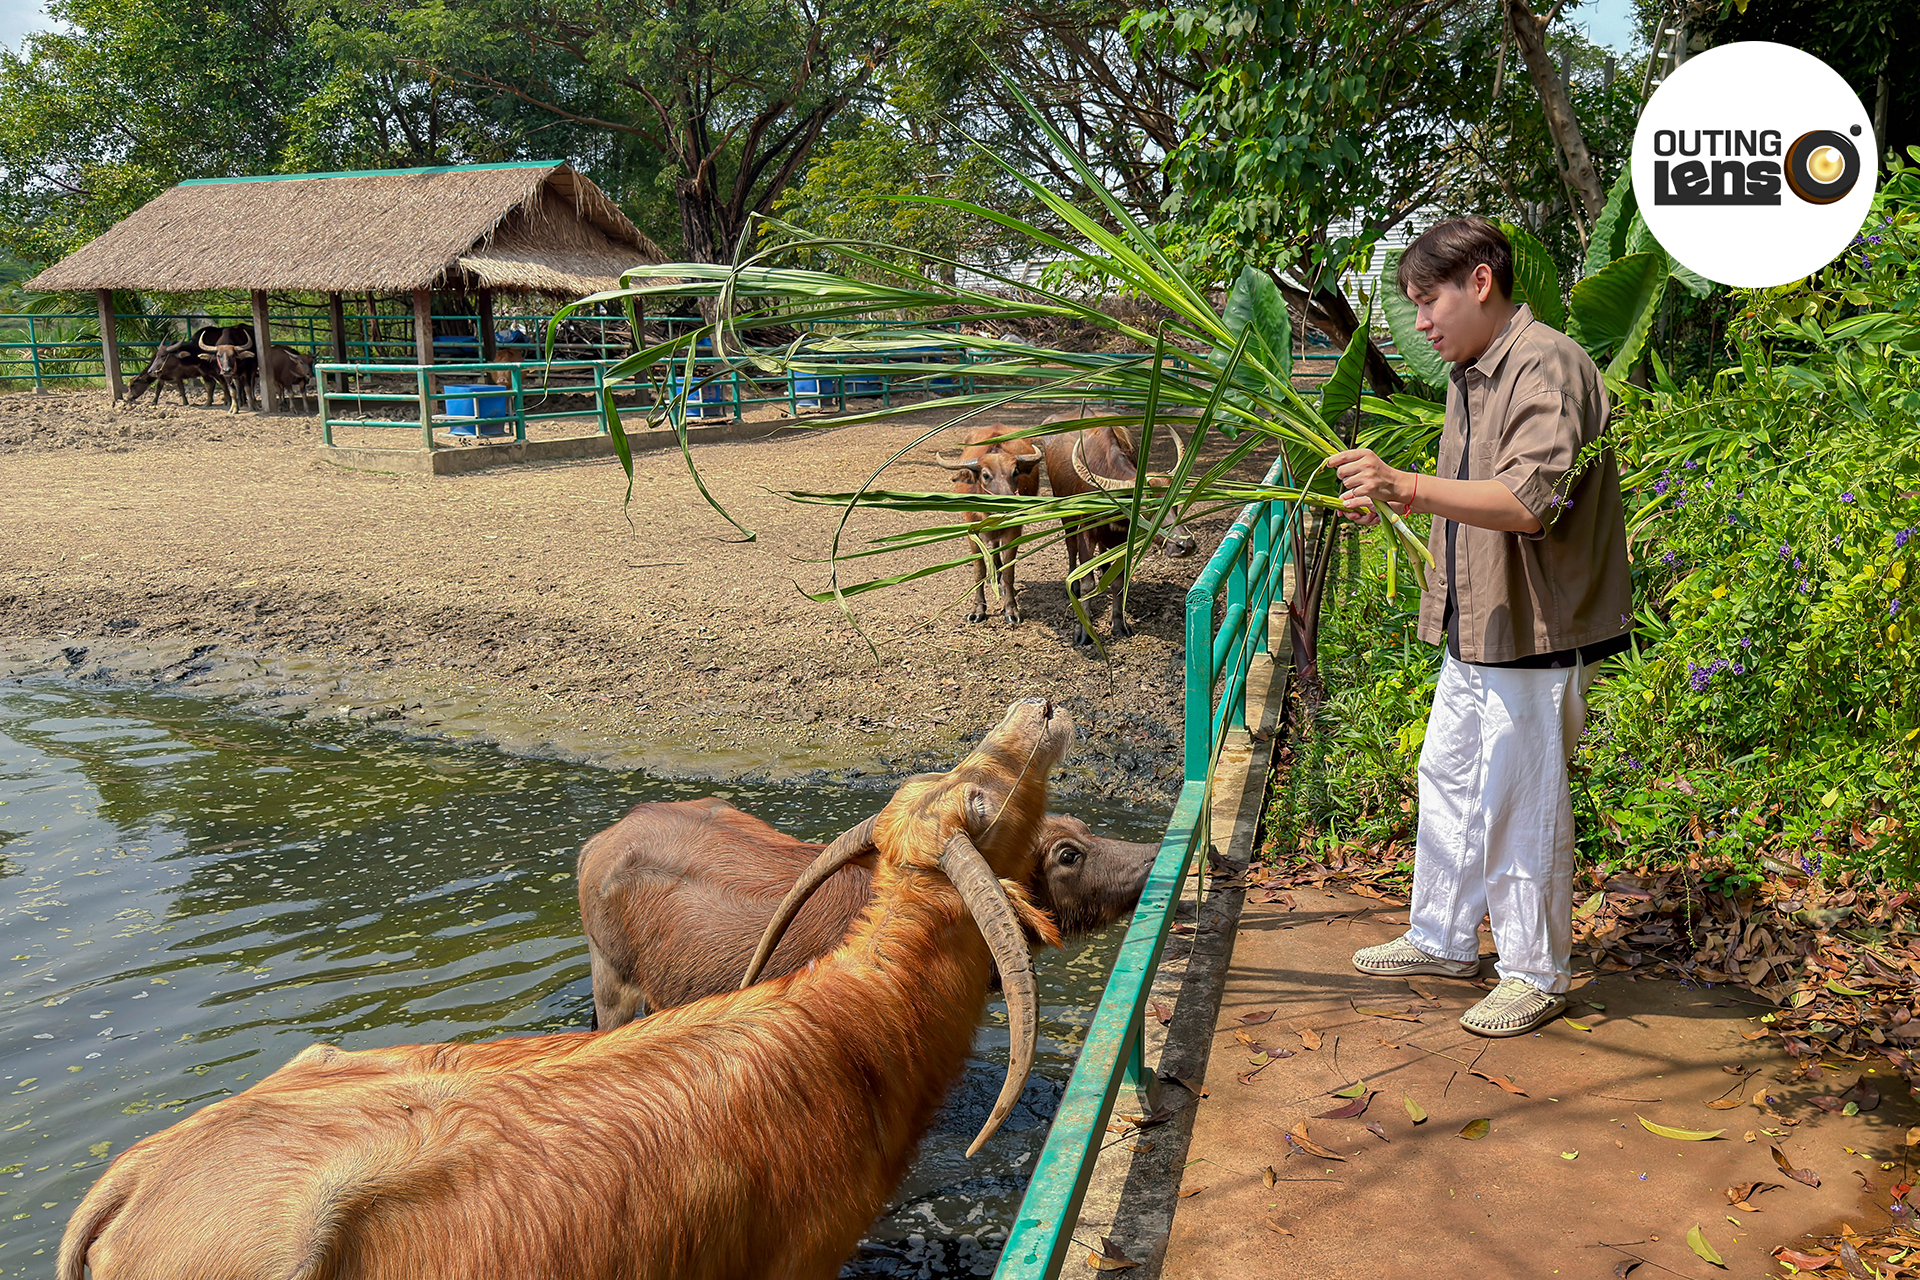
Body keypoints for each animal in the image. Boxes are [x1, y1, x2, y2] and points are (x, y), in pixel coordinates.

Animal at [933, 426, 1045, 624]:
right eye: (985, 475)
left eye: (1015, 472)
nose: (1009, 504)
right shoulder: (971, 530)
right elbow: (978, 570)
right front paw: (978, 610)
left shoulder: (1014, 531)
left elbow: (1009, 571)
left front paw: (1011, 609)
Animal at [1039, 407, 1199, 647]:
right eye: (1146, 507)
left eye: (1176, 503)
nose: (1185, 545)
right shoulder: (1086, 532)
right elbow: (1087, 584)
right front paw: (1084, 632)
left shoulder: (1124, 540)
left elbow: (1118, 582)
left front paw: (1119, 624)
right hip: (1065, 515)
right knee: (1070, 547)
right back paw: (1073, 584)